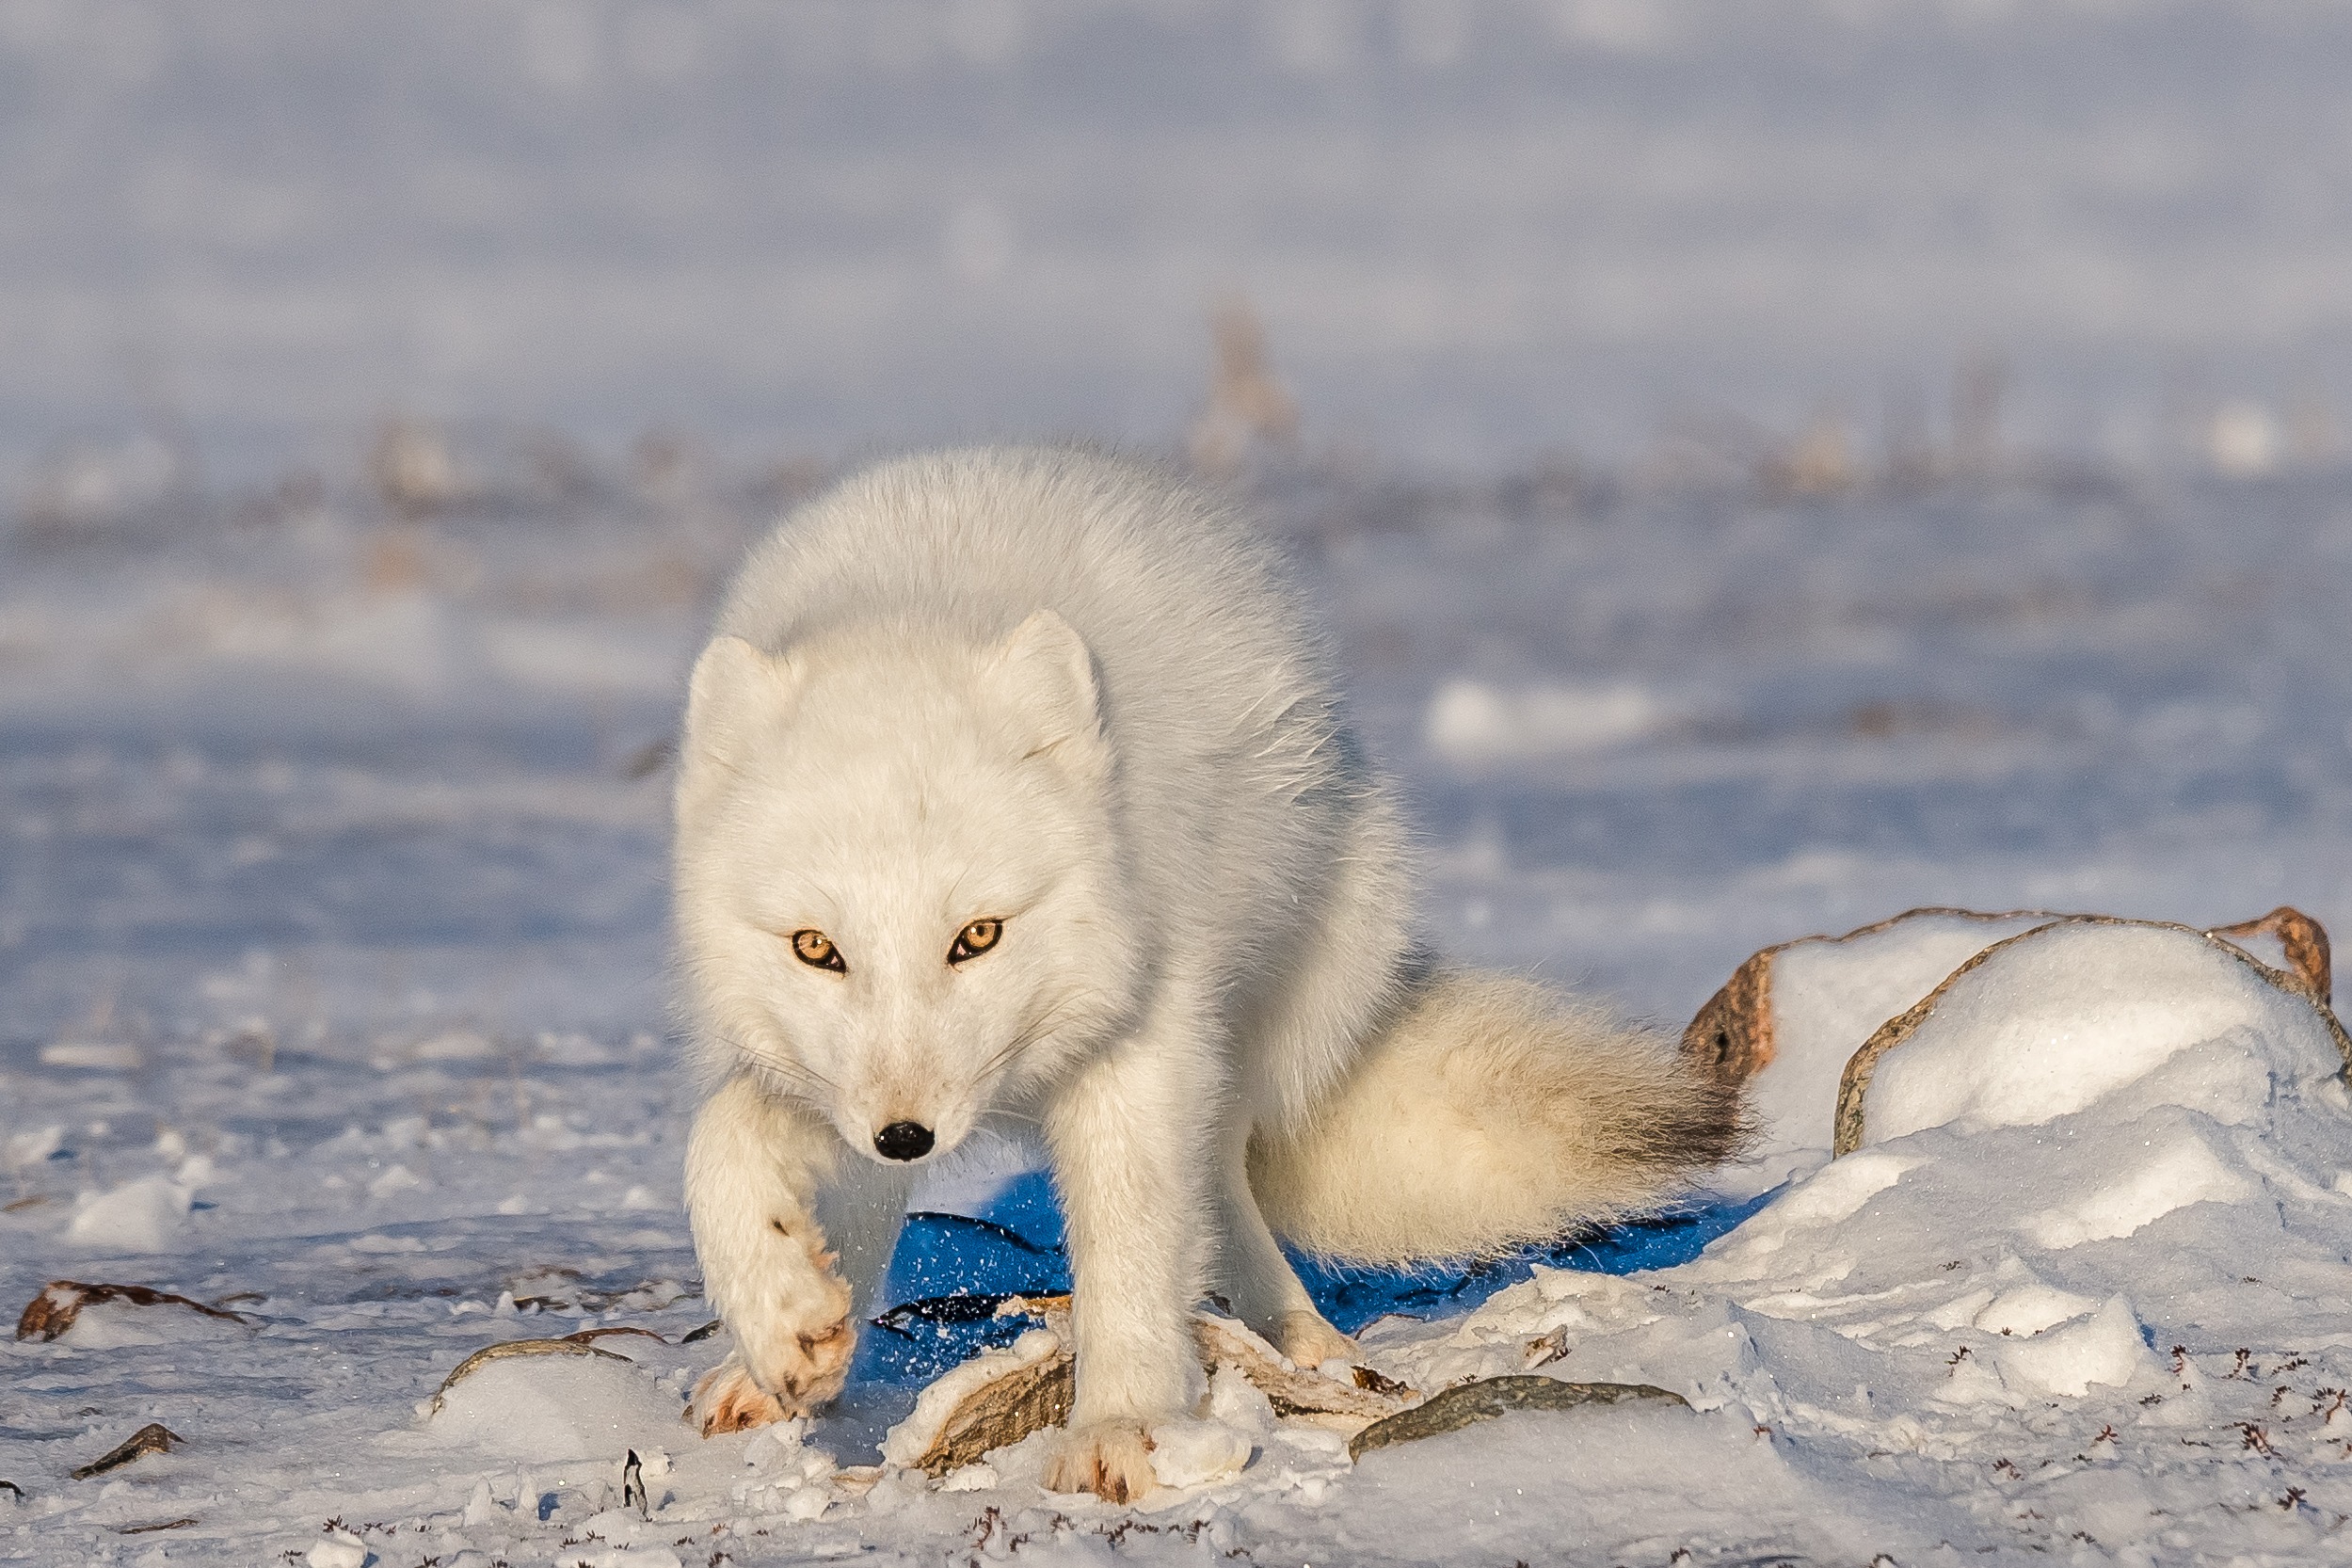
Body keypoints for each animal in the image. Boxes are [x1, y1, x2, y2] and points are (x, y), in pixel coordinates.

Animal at [677, 446, 1750, 1504]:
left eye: (977, 935)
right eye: (816, 948)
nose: (906, 1136)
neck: (919, 608)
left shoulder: (1144, 1042)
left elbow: (1131, 1247)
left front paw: (1117, 1425)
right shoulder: (810, 1073)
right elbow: (718, 1144)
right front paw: (783, 1320)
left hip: (1265, 1020)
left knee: (1220, 1184)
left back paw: (1302, 1341)